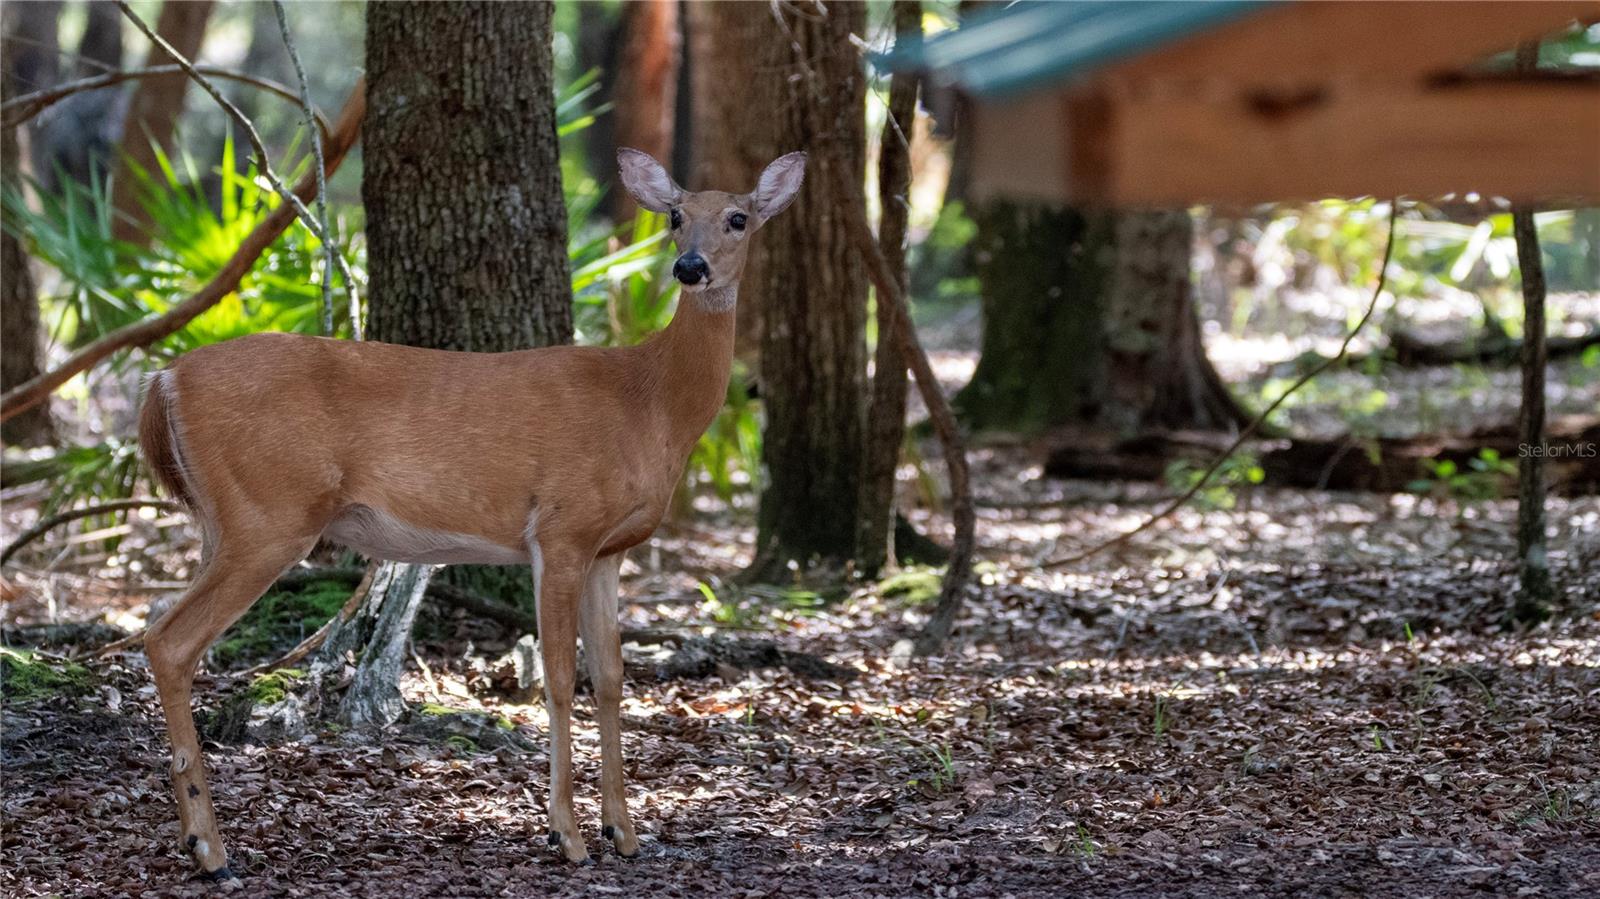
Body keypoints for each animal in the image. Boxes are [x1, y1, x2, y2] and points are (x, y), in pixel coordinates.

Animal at [136, 148, 806, 876]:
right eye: (676, 216)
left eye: (738, 218)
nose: (690, 266)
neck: (650, 403)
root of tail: (165, 378)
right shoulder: (562, 526)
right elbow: (559, 678)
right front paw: (566, 834)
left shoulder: (609, 549)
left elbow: (611, 678)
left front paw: (624, 831)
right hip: (269, 513)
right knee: (170, 640)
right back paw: (212, 848)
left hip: (222, 519)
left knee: (162, 626)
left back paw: (192, 835)